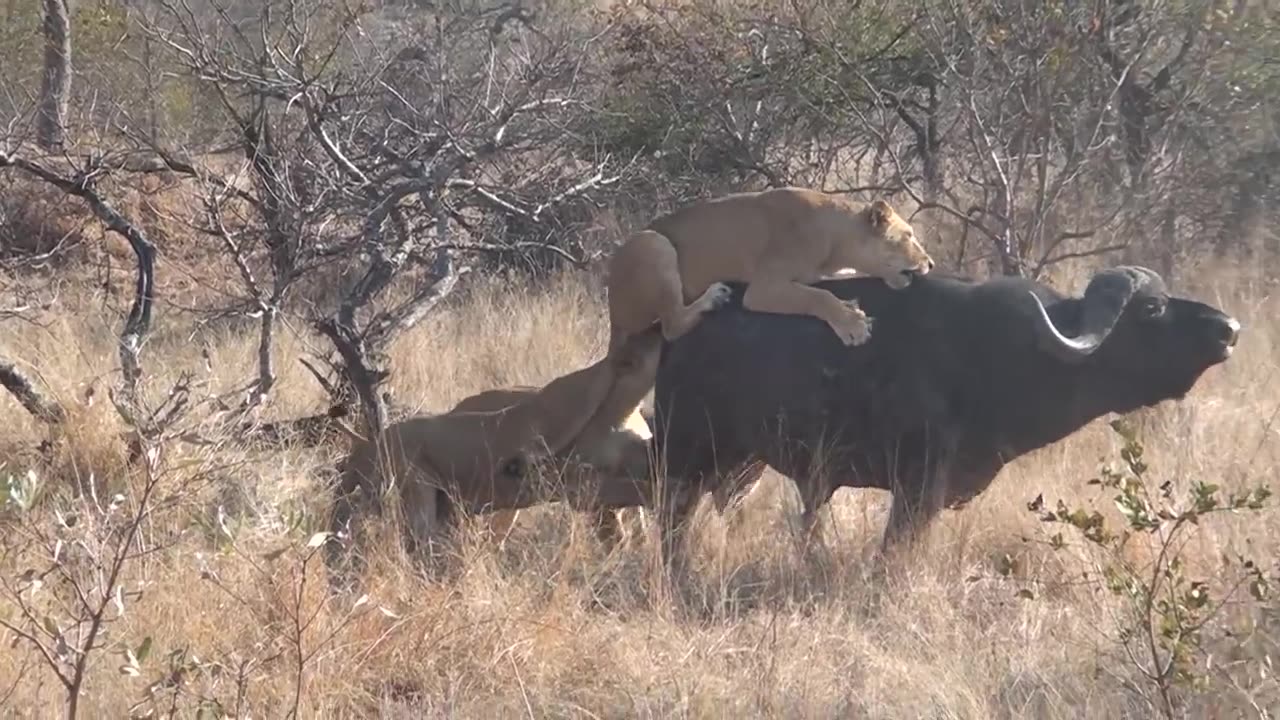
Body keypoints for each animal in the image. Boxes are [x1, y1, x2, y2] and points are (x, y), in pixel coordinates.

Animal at [650, 265, 1239, 566]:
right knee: (671, 522)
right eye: (1152, 309)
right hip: (685, 452)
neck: (1010, 355)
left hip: (739, 463)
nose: (1229, 328)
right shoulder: (917, 488)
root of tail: (679, 325)